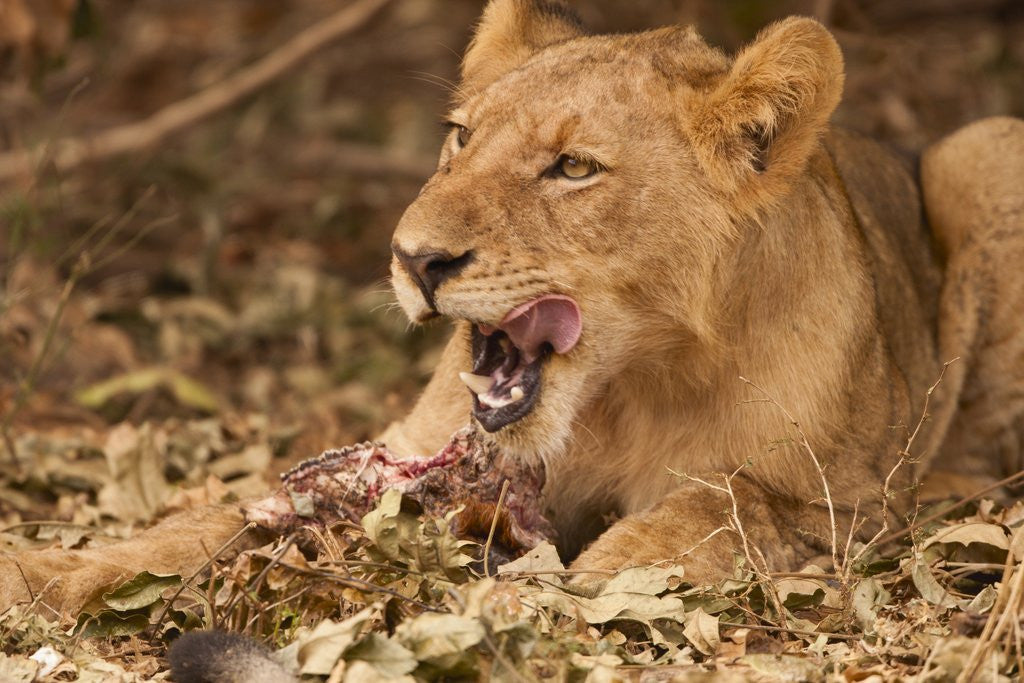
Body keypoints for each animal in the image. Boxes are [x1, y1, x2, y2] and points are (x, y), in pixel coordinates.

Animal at [2, 0, 1024, 637]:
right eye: (460, 138)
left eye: (572, 167)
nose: (414, 257)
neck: (624, 390)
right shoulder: (408, 451)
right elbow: (207, 517)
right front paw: (41, 573)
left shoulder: (838, 509)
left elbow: (701, 512)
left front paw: (525, 604)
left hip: (986, 147)